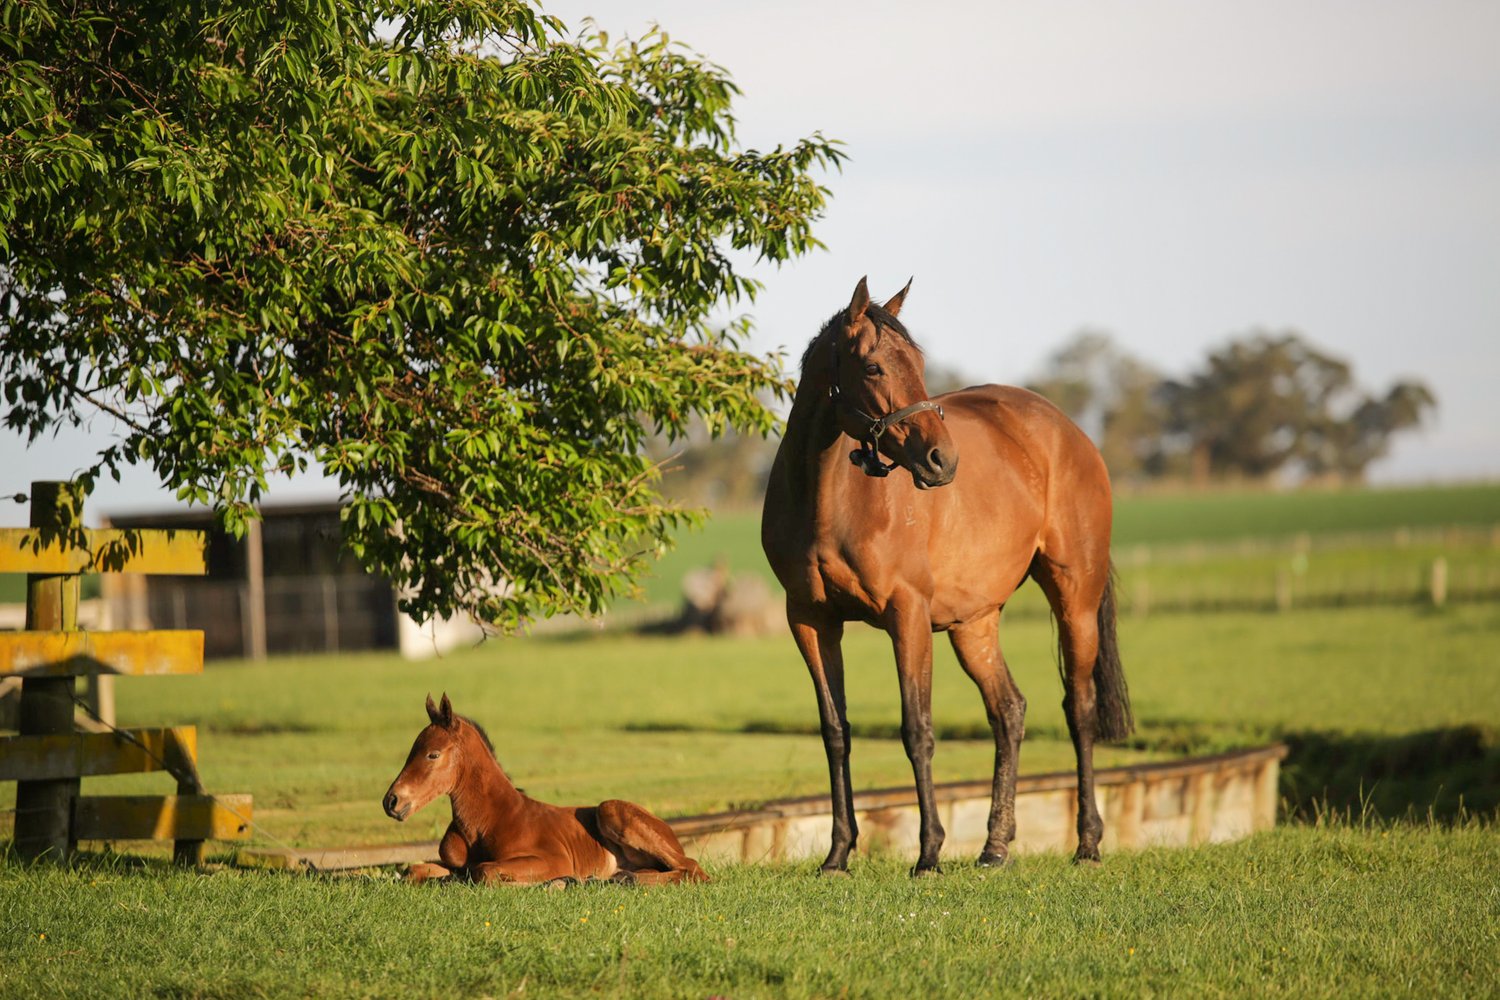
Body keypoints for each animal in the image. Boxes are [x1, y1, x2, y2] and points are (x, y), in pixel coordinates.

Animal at [381, 692, 708, 887]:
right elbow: (415, 870)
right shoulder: (452, 864)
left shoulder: (553, 859)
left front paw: (548, 882)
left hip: (611, 809)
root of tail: (670, 831)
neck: (484, 822)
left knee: (692, 868)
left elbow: (483, 871)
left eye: (433, 754)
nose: (391, 801)